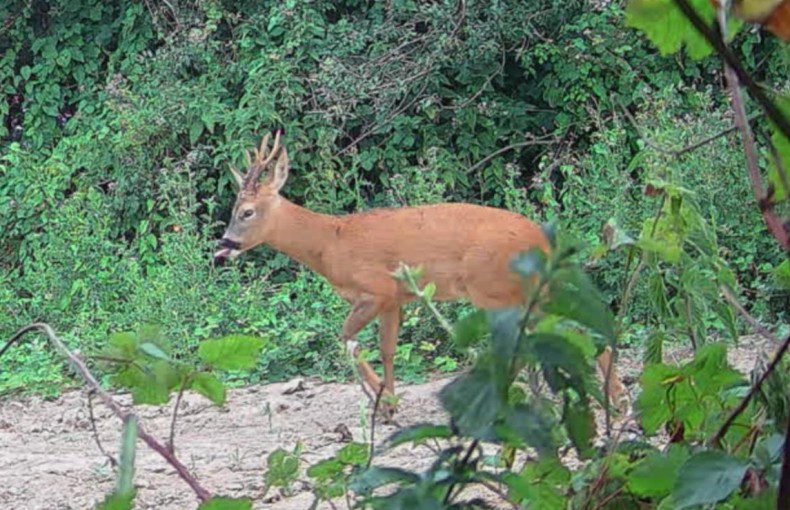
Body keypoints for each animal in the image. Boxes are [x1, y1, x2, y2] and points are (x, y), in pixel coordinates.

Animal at [213, 130, 625, 417]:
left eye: (246, 212)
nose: (223, 247)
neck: (331, 243)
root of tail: (542, 240)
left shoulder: (376, 288)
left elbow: (346, 339)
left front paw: (383, 402)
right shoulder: (397, 299)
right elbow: (388, 349)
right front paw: (390, 404)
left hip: (494, 287)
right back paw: (612, 397)